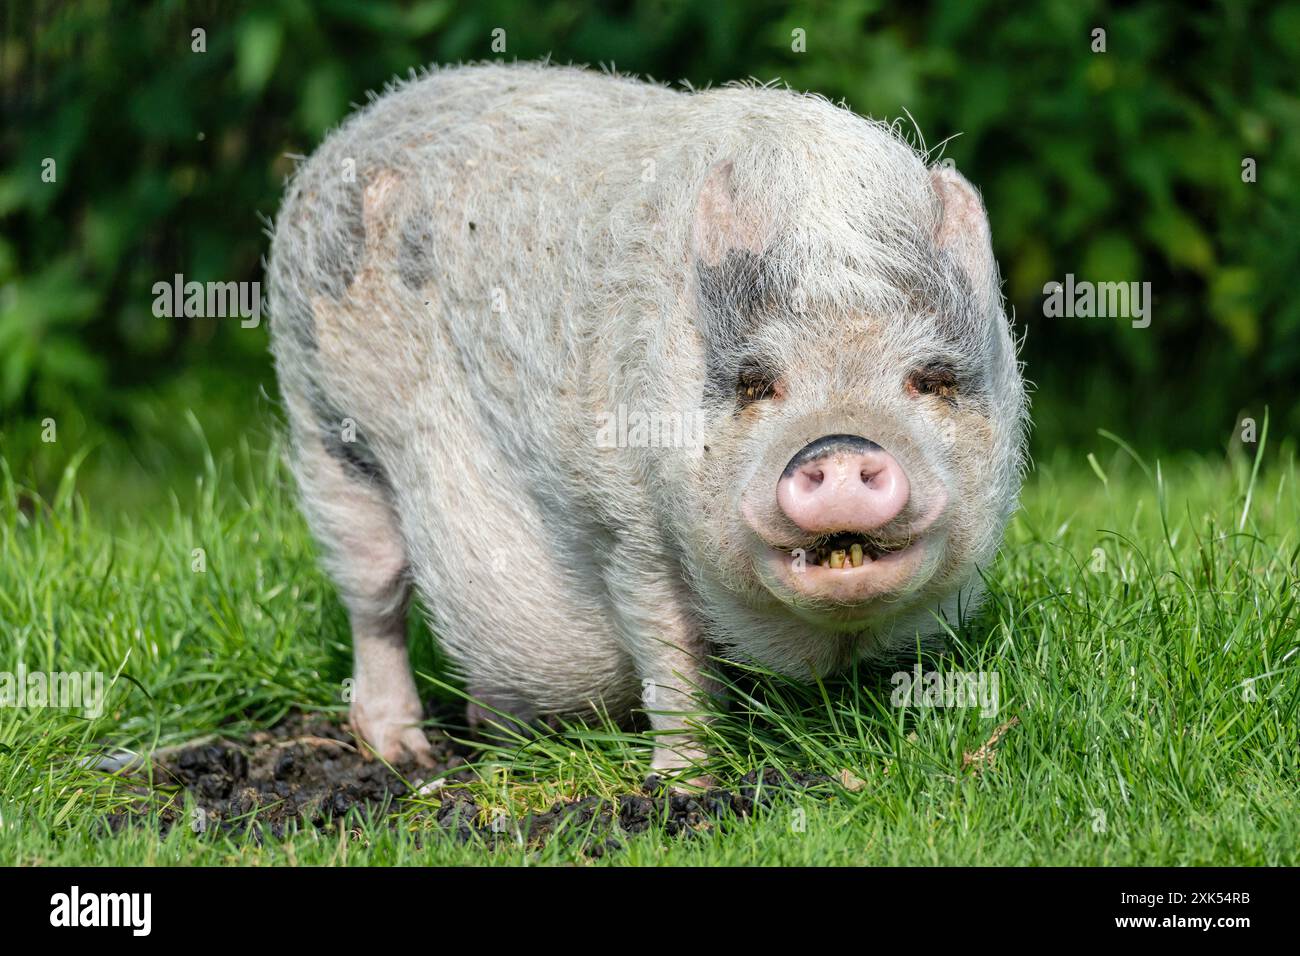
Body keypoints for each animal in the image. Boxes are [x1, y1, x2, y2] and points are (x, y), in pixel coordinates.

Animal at [266, 63, 1024, 785]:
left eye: (932, 379)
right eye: (754, 382)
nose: (838, 446)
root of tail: (352, 131)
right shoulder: (628, 525)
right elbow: (673, 663)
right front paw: (682, 786)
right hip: (325, 427)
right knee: (375, 597)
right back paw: (406, 755)